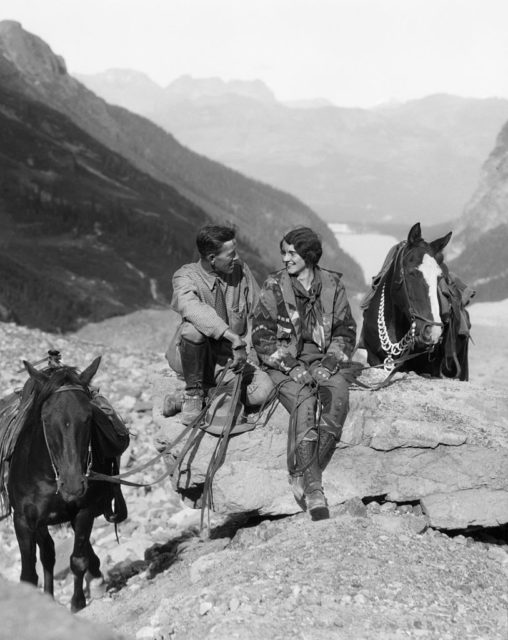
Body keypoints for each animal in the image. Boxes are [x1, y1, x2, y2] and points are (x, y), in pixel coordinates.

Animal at [6, 358, 128, 612]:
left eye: (89, 417)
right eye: (45, 418)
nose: (73, 486)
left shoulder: (84, 511)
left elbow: (78, 560)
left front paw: (77, 602)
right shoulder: (23, 520)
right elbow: (28, 575)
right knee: (48, 554)